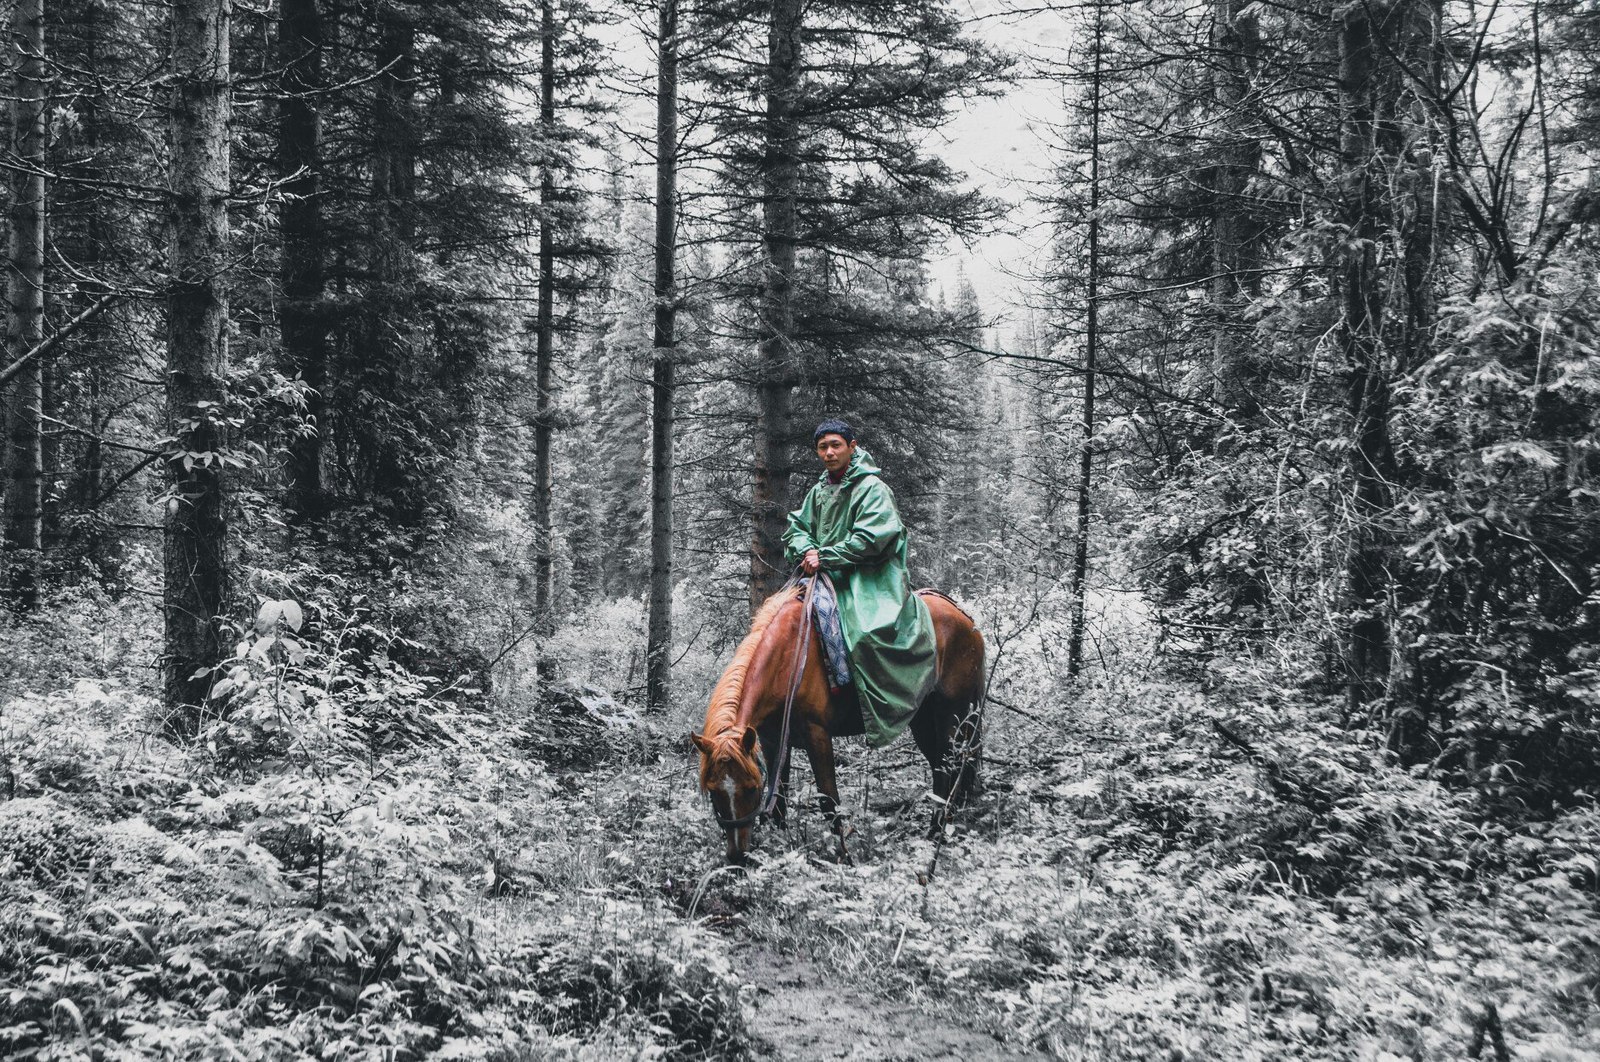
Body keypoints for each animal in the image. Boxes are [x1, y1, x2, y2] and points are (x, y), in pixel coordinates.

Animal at [691, 585, 979, 870]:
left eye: (751, 788)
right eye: (714, 791)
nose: (737, 857)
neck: (789, 661)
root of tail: (965, 617)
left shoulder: (817, 734)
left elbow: (829, 800)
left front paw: (844, 857)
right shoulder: (772, 740)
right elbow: (779, 797)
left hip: (953, 715)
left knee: (950, 764)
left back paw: (938, 832)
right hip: (922, 721)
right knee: (941, 766)